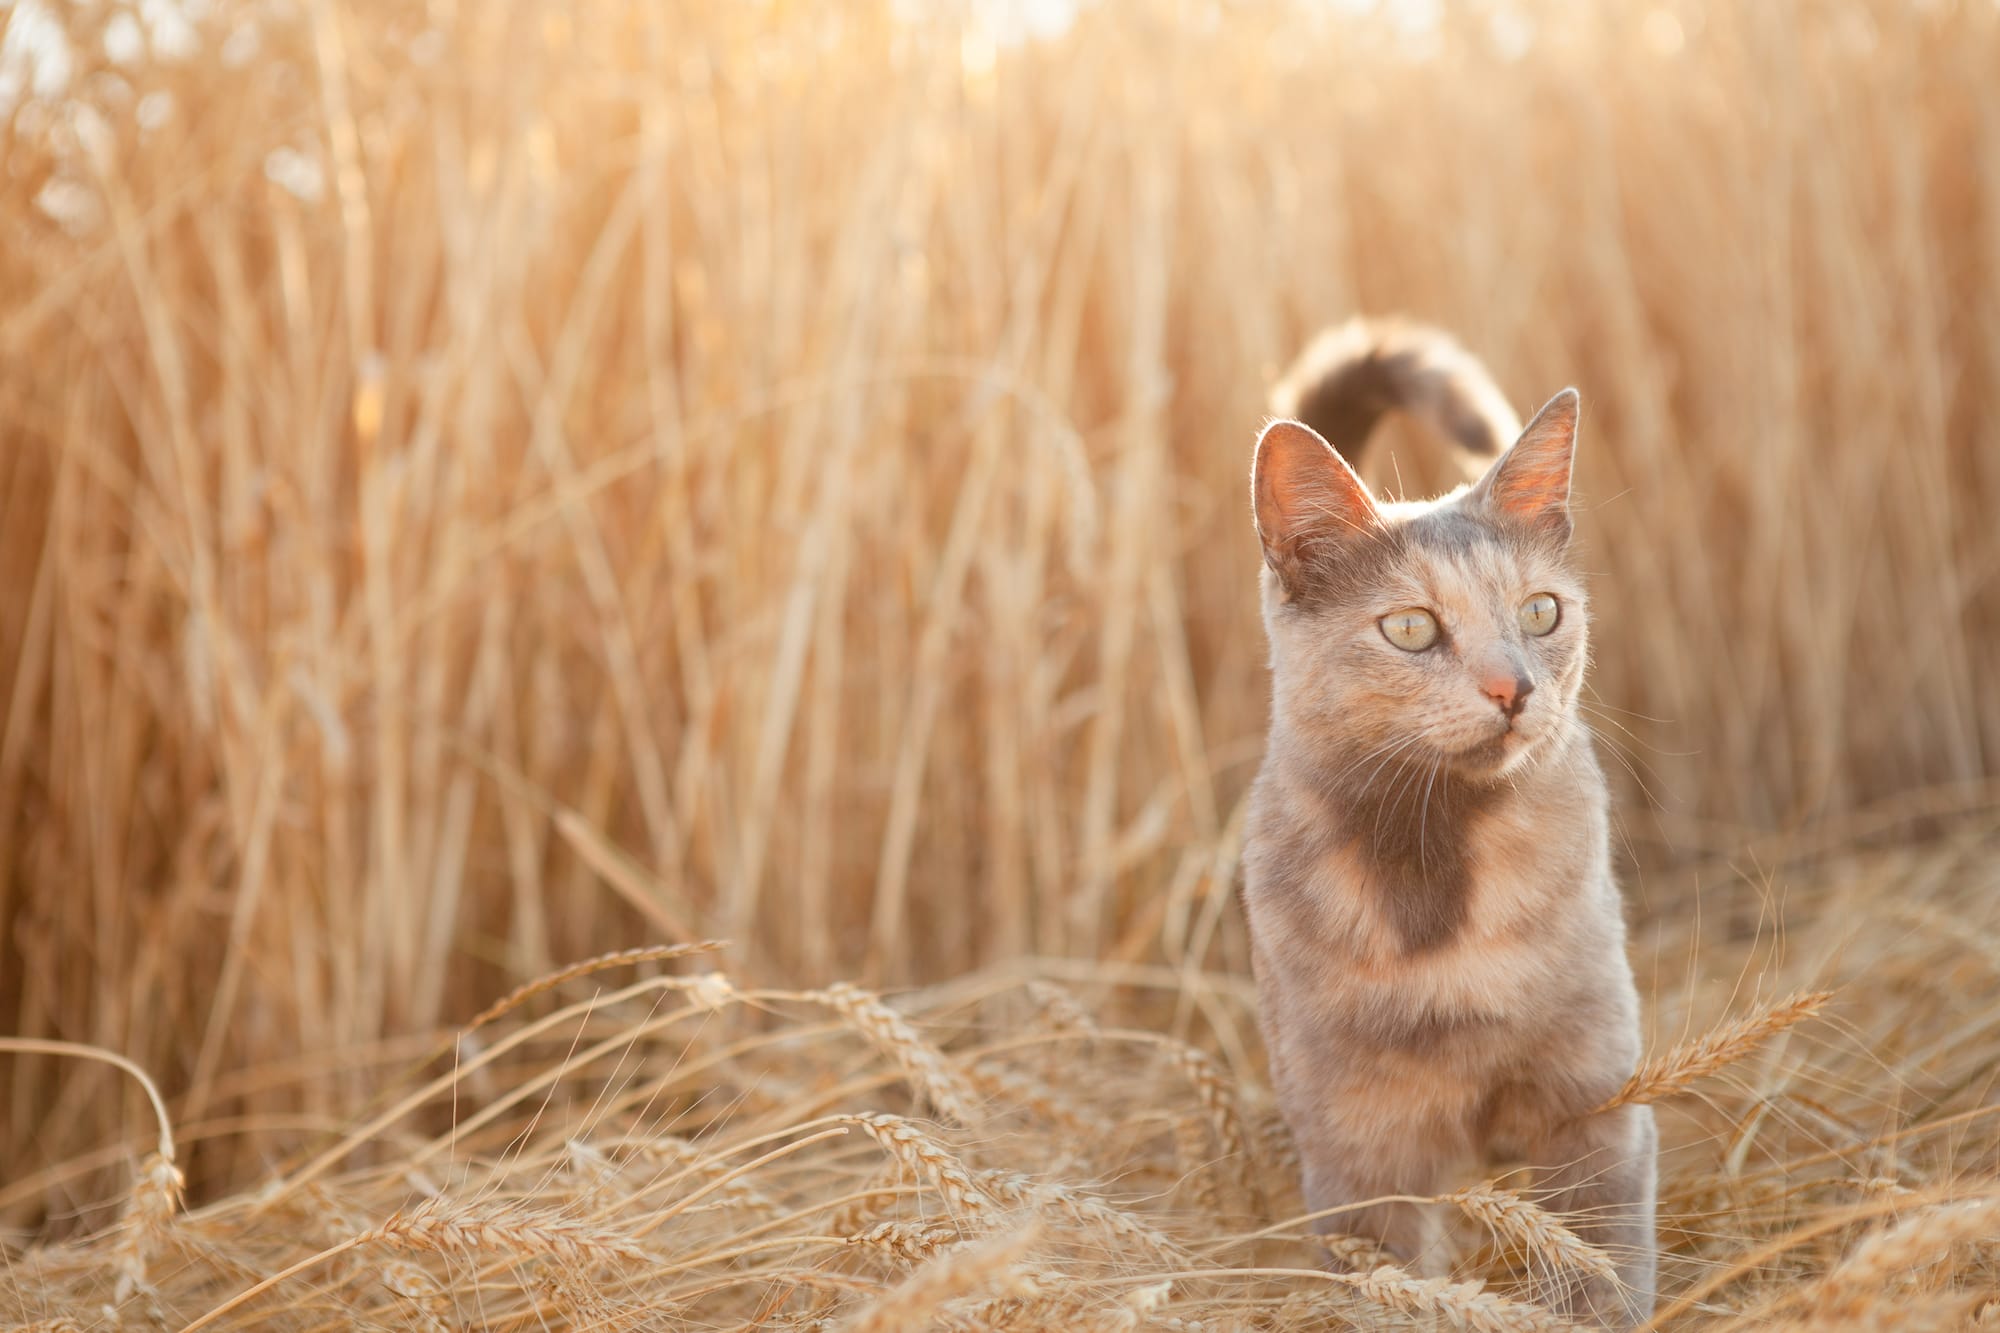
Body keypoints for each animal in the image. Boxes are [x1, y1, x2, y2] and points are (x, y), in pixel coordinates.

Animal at [1248, 320, 1656, 1320]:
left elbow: (1600, 1264)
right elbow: (1382, 1279)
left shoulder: (1593, 1109)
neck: (1438, 863)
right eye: (1410, 629)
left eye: (1542, 611)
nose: (1515, 686)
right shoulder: (1358, 1152)